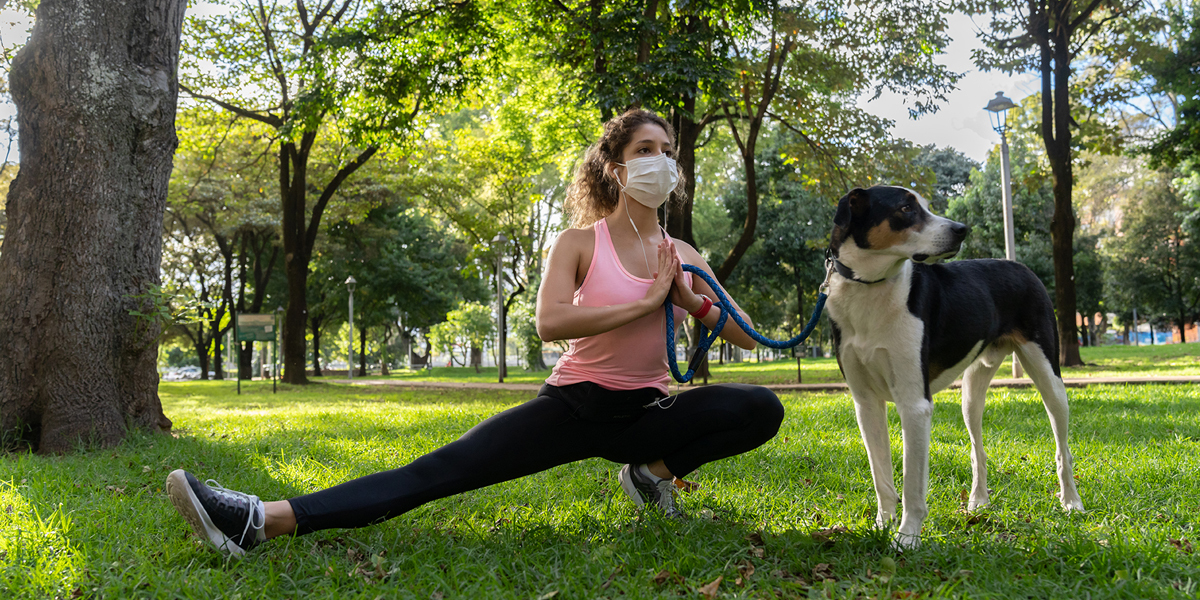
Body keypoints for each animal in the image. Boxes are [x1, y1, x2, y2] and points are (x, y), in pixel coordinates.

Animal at [825, 186, 1089, 549]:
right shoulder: (866, 405)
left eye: (925, 205)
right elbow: (882, 478)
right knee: (978, 450)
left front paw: (907, 537)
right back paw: (978, 501)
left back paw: (1071, 501)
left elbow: (912, 485)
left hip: (1050, 379)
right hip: (971, 394)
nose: (961, 229)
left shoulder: (915, 405)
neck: (871, 289)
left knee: (1063, 449)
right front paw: (882, 525)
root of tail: (1019, 265)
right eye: (905, 208)